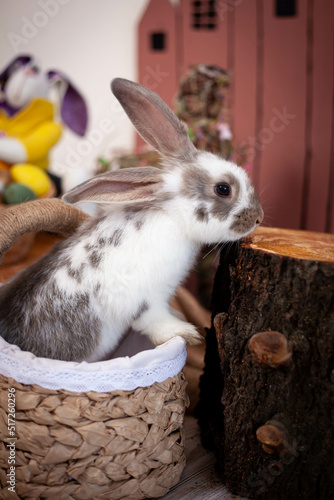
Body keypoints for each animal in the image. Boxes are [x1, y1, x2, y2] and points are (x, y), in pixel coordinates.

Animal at [0, 76, 262, 362]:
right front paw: (187, 333)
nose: (258, 218)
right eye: (223, 189)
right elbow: (156, 322)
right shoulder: (147, 301)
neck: (171, 217)